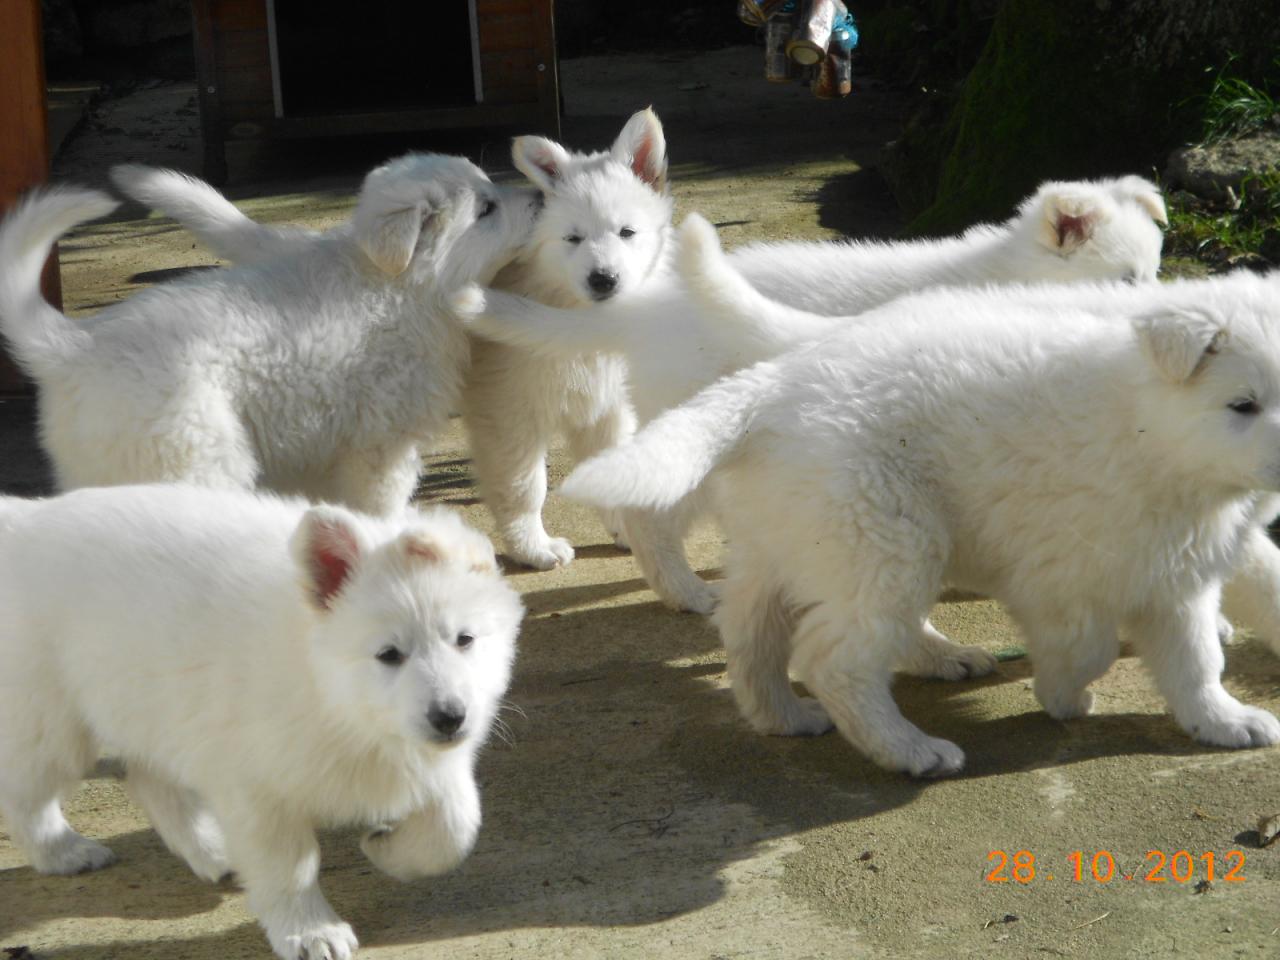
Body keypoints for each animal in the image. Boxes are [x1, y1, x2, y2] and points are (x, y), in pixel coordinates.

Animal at [0, 488, 524, 960]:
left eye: (465, 639)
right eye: (389, 654)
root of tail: (18, 521)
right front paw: (311, 932)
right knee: (26, 793)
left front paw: (386, 850)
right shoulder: (257, 786)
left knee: (149, 776)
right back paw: (63, 852)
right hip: (52, 719)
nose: (450, 718)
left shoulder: (431, 760)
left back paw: (212, 852)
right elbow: (288, 866)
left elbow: (455, 827)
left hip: (148, 704)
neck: (337, 701)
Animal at [453, 176, 1172, 611]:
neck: (1008, 274)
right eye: (1124, 279)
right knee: (652, 517)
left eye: (1155, 271)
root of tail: (651, 305)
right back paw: (685, 591)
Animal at [565, 268, 1280, 773]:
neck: (1151, 434)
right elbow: (1091, 645)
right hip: (887, 537)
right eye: (1243, 405)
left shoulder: (1181, 568)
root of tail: (769, 385)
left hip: (796, 537)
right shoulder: (1057, 568)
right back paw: (908, 749)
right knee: (836, 658)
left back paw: (784, 715)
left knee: (751, 629)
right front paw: (1064, 696)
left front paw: (1221, 721)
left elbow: (1196, 658)